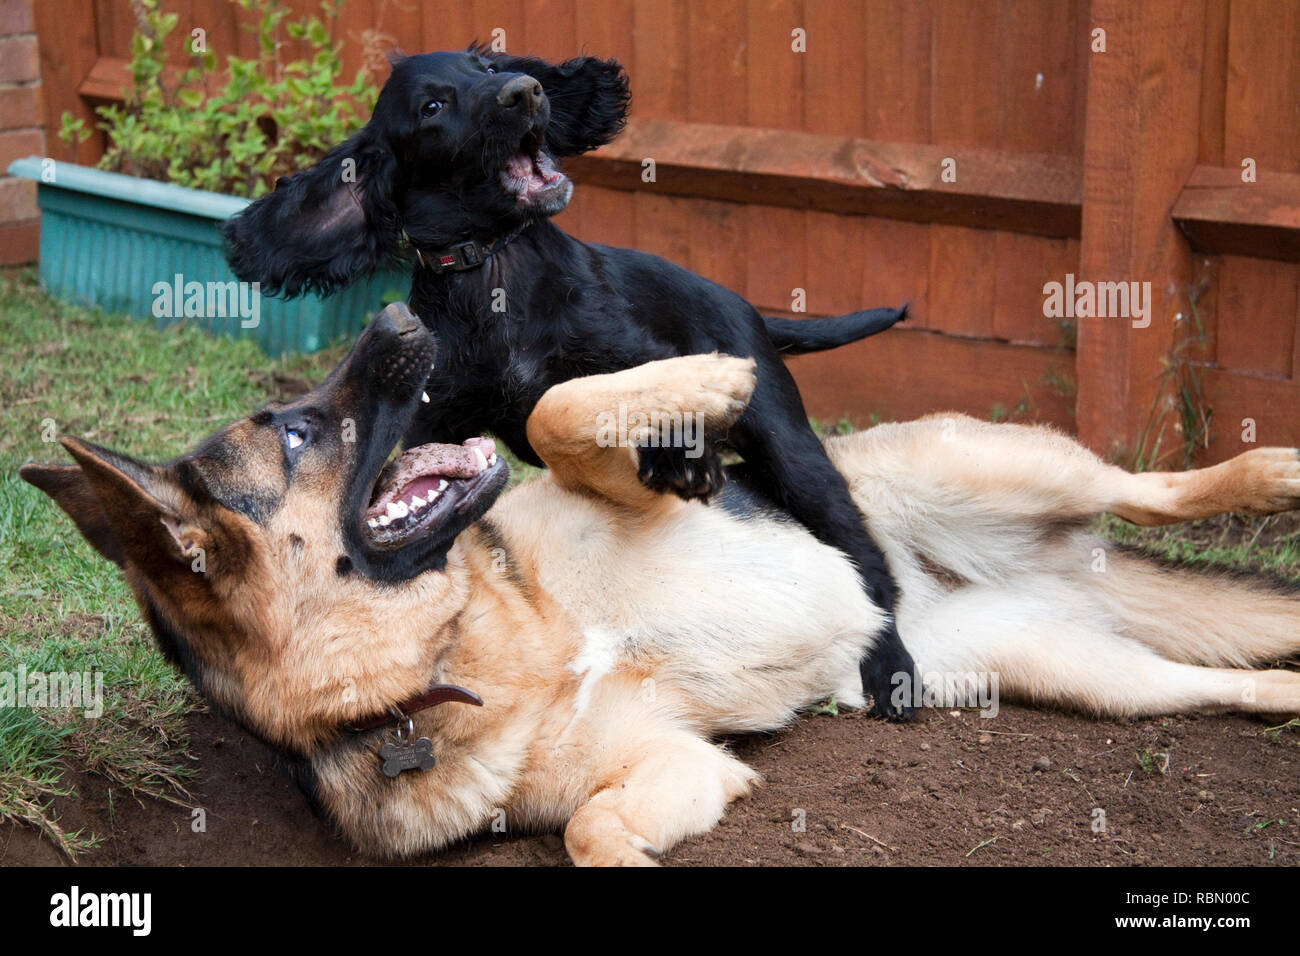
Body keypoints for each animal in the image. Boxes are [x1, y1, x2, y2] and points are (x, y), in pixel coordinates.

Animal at [20, 306, 1300, 868]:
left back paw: (1268, 471)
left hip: (996, 467)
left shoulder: (610, 480)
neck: (474, 640)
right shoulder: (673, 759)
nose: (396, 309)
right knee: (1212, 684)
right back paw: (1283, 692)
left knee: (1150, 488)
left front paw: (708, 380)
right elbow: (593, 828)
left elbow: (556, 408)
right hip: (1083, 675)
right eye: (294, 432)